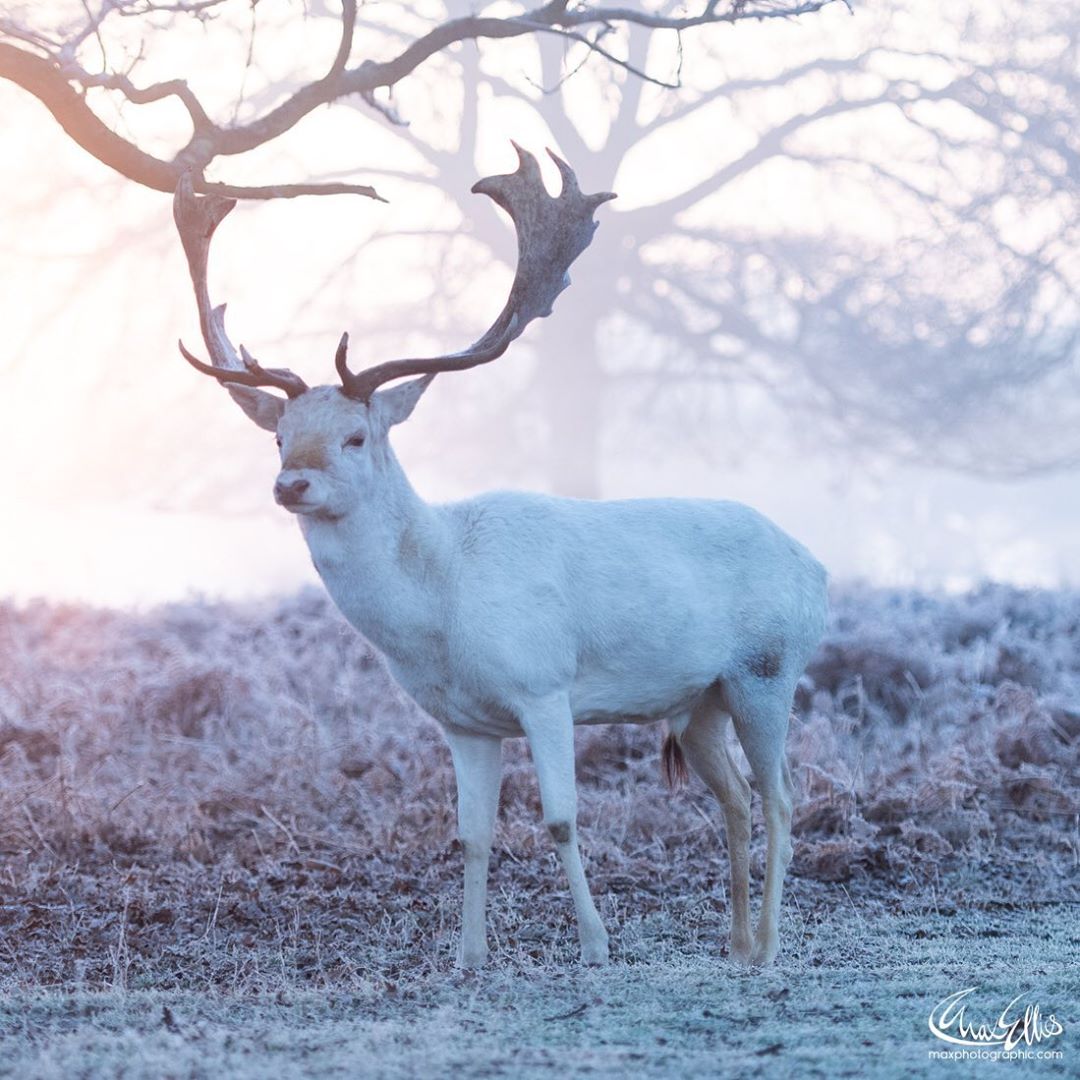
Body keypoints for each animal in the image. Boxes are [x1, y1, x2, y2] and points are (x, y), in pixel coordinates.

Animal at [172, 145, 825, 972]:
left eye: (357, 435)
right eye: (280, 436)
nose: (291, 484)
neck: (442, 607)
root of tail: (815, 566)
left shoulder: (544, 685)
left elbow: (560, 820)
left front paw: (594, 944)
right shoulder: (463, 722)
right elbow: (471, 837)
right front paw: (469, 956)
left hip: (769, 670)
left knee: (782, 797)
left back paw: (768, 944)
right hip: (697, 699)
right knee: (736, 797)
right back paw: (735, 942)